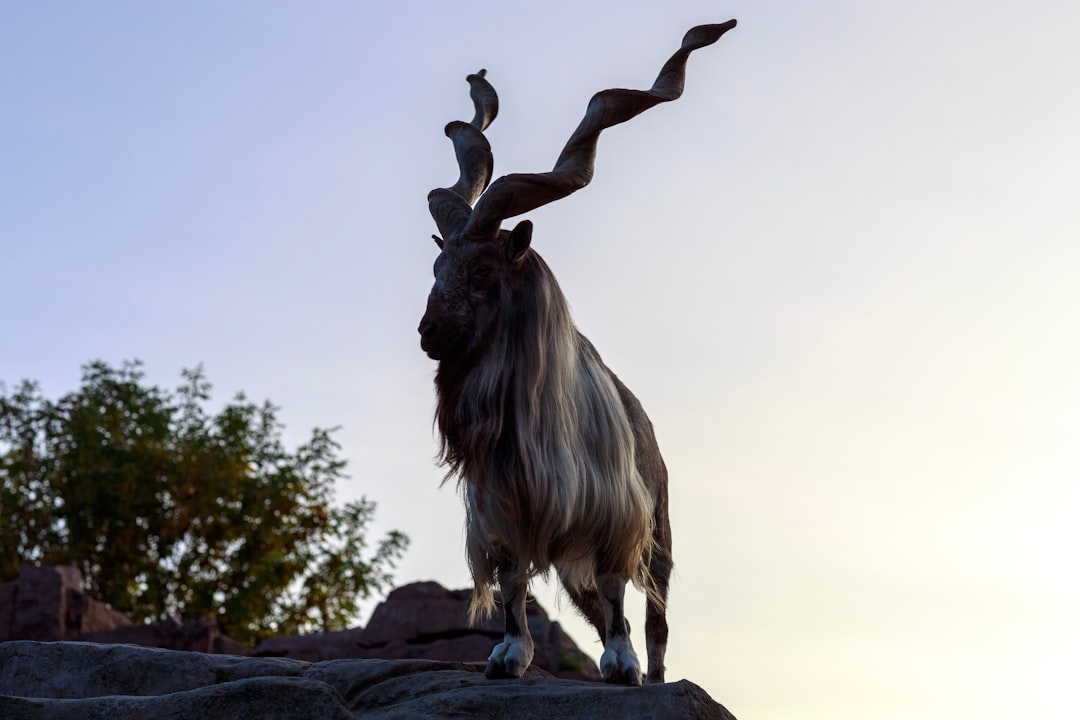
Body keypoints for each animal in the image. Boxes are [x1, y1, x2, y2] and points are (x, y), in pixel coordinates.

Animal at [418, 21, 736, 685]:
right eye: (436, 267)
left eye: (483, 269)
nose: (430, 333)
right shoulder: (502, 512)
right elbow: (512, 581)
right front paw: (508, 656)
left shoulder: (614, 512)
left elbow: (617, 589)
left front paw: (621, 665)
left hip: (661, 529)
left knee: (655, 613)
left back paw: (651, 673)